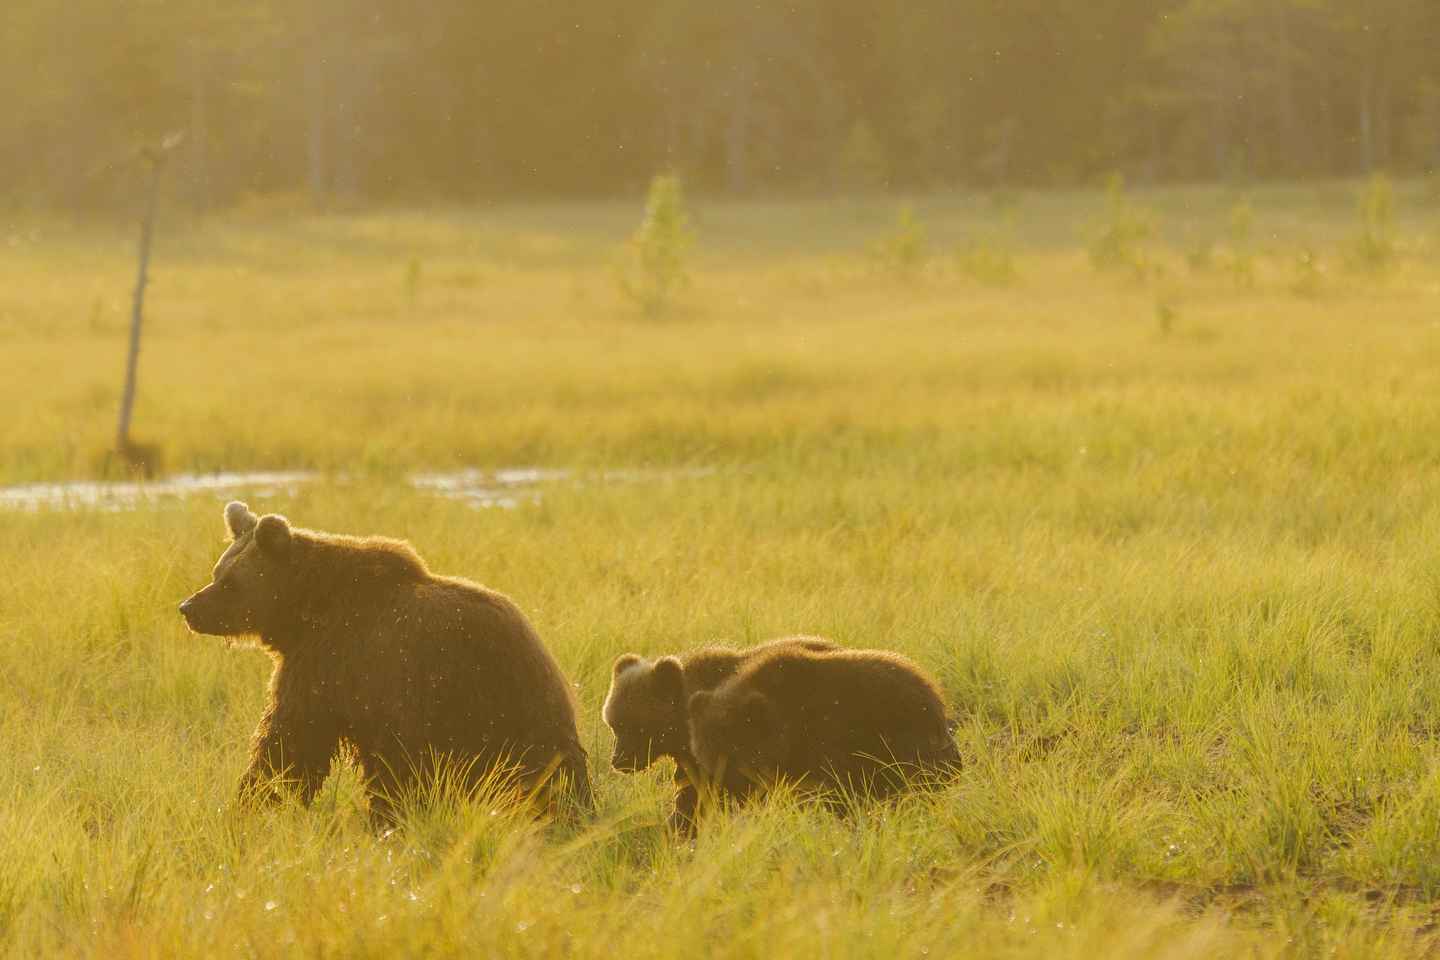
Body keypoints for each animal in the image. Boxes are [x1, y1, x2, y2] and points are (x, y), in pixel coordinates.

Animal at [179, 501, 592, 825]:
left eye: (231, 582)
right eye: (217, 571)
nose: (188, 608)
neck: (305, 612)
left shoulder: (337, 665)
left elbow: (291, 739)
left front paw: (257, 800)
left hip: (494, 706)